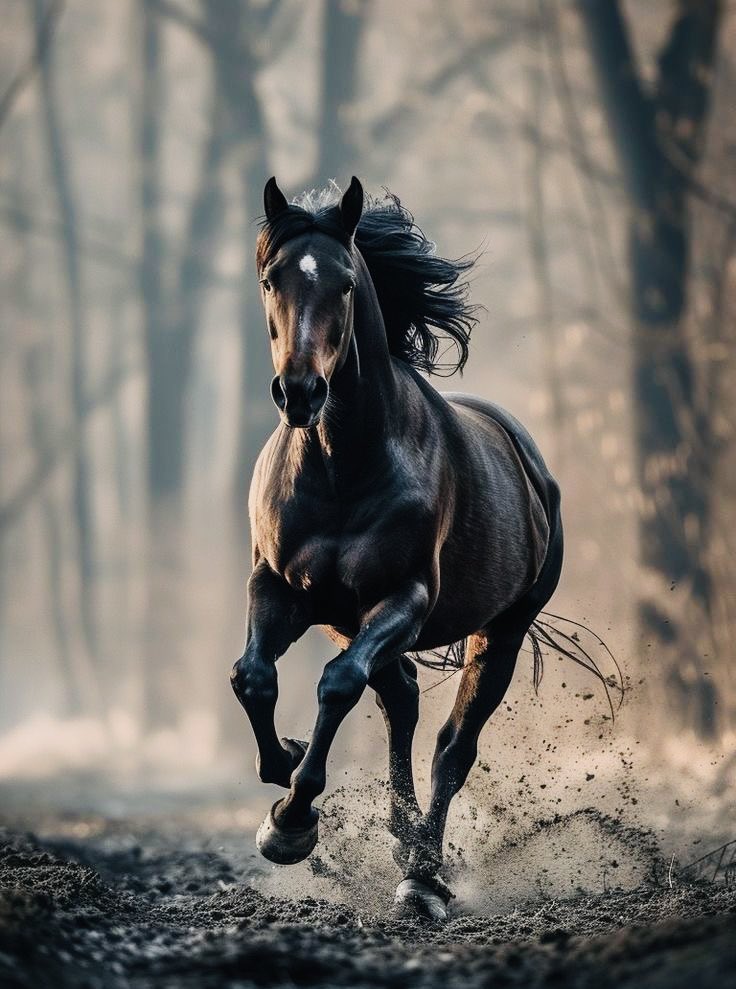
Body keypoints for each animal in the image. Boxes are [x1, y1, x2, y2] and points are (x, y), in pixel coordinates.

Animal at [230, 176, 563, 921]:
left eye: (347, 283)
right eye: (270, 278)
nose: (301, 393)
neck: (340, 465)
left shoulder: (402, 598)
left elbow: (336, 685)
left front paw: (293, 821)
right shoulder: (278, 587)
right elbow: (253, 677)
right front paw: (283, 771)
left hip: (500, 630)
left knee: (450, 748)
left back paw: (422, 875)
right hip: (353, 621)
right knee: (402, 701)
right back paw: (403, 838)